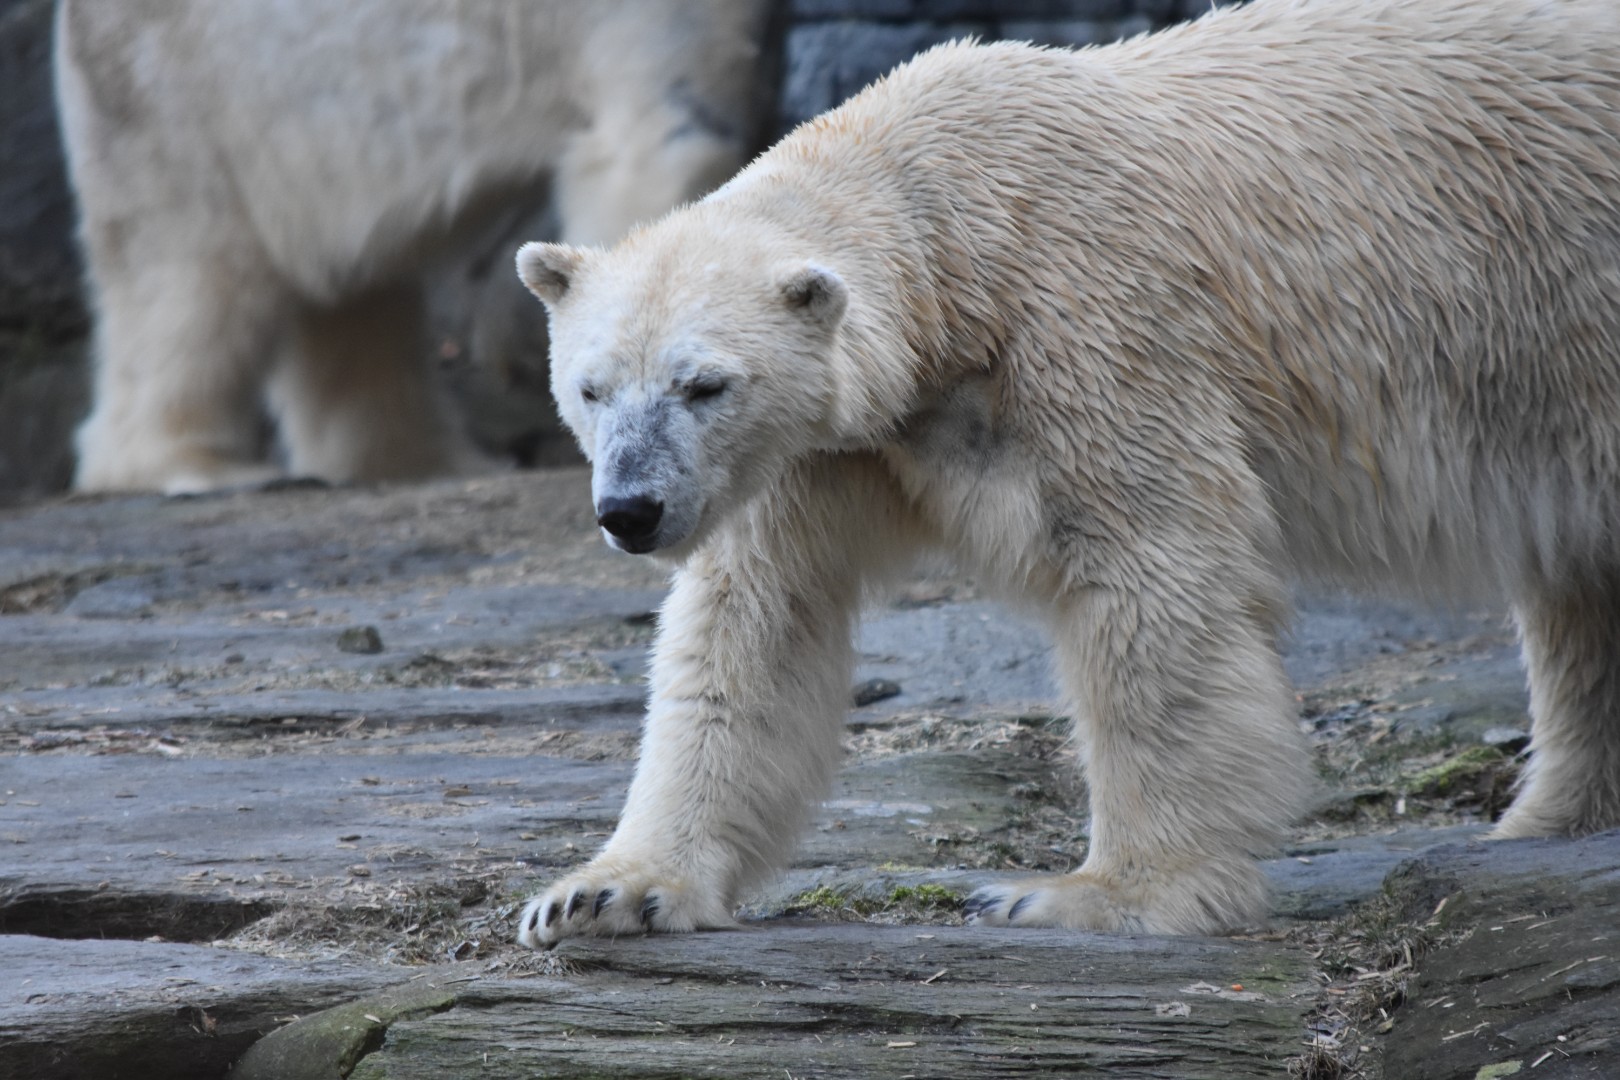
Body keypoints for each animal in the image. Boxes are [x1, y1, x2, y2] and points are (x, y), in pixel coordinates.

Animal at [56, 0, 779, 494]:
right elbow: (667, 131)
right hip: (184, 101)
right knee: (187, 274)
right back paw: (198, 466)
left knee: (355, 291)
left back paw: (429, 459)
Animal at [512, 0, 1620, 948]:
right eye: (592, 388)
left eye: (705, 384)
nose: (630, 511)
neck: (952, 233)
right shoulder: (822, 449)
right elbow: (751, 624)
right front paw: (604, 892)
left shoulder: (1091, 336)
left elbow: (1152, 575)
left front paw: (1092, 894)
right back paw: (1554, 814)